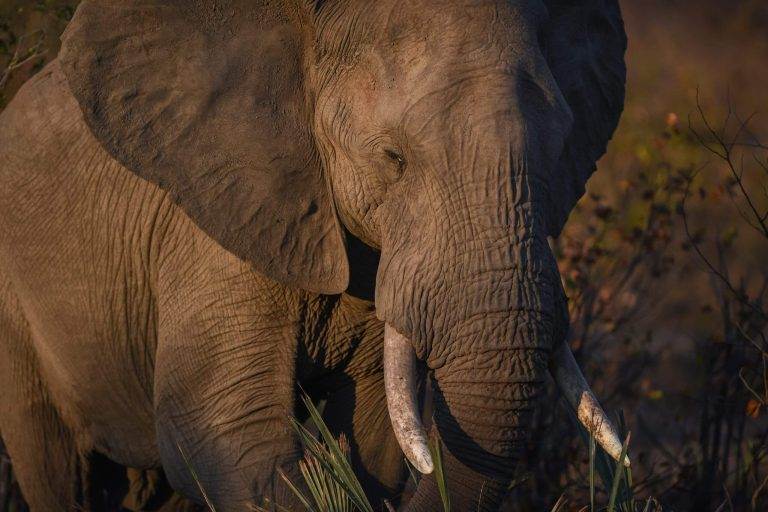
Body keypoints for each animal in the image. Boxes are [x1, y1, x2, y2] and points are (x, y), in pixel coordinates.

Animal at [0, 0, 628, 510]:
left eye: (562, 149)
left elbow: (374, 439)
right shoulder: (214, 218)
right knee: (60, 471)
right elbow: (224, 437)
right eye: (394, 158)